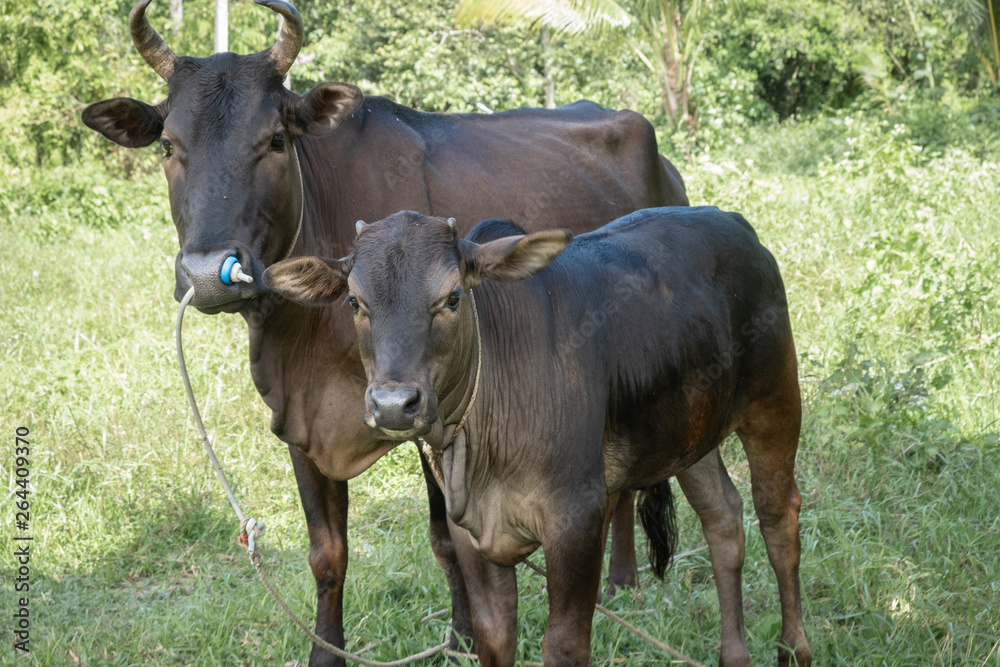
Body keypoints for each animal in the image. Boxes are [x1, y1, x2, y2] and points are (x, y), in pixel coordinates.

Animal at [82, 1, 736, 664]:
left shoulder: (439, 413)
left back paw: (622, 578)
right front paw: (327, 651)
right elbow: (327, 555)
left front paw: (463, 636)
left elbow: (446, 536)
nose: (205, 272)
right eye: (168, 144)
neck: (300, 338)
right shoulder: (300, 422)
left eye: (274, 140)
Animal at [264, 211, 812, 667]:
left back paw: (793, 649)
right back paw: (734, 655)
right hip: (692, 436)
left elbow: (564, 645)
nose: (395, 404)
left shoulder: (576, 519)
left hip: (774, 402)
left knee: (778, 519)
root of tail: (737, 225)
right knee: (724, 521)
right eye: (355, 301)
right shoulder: (470, 533)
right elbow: (494, 636)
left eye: (453, 297)